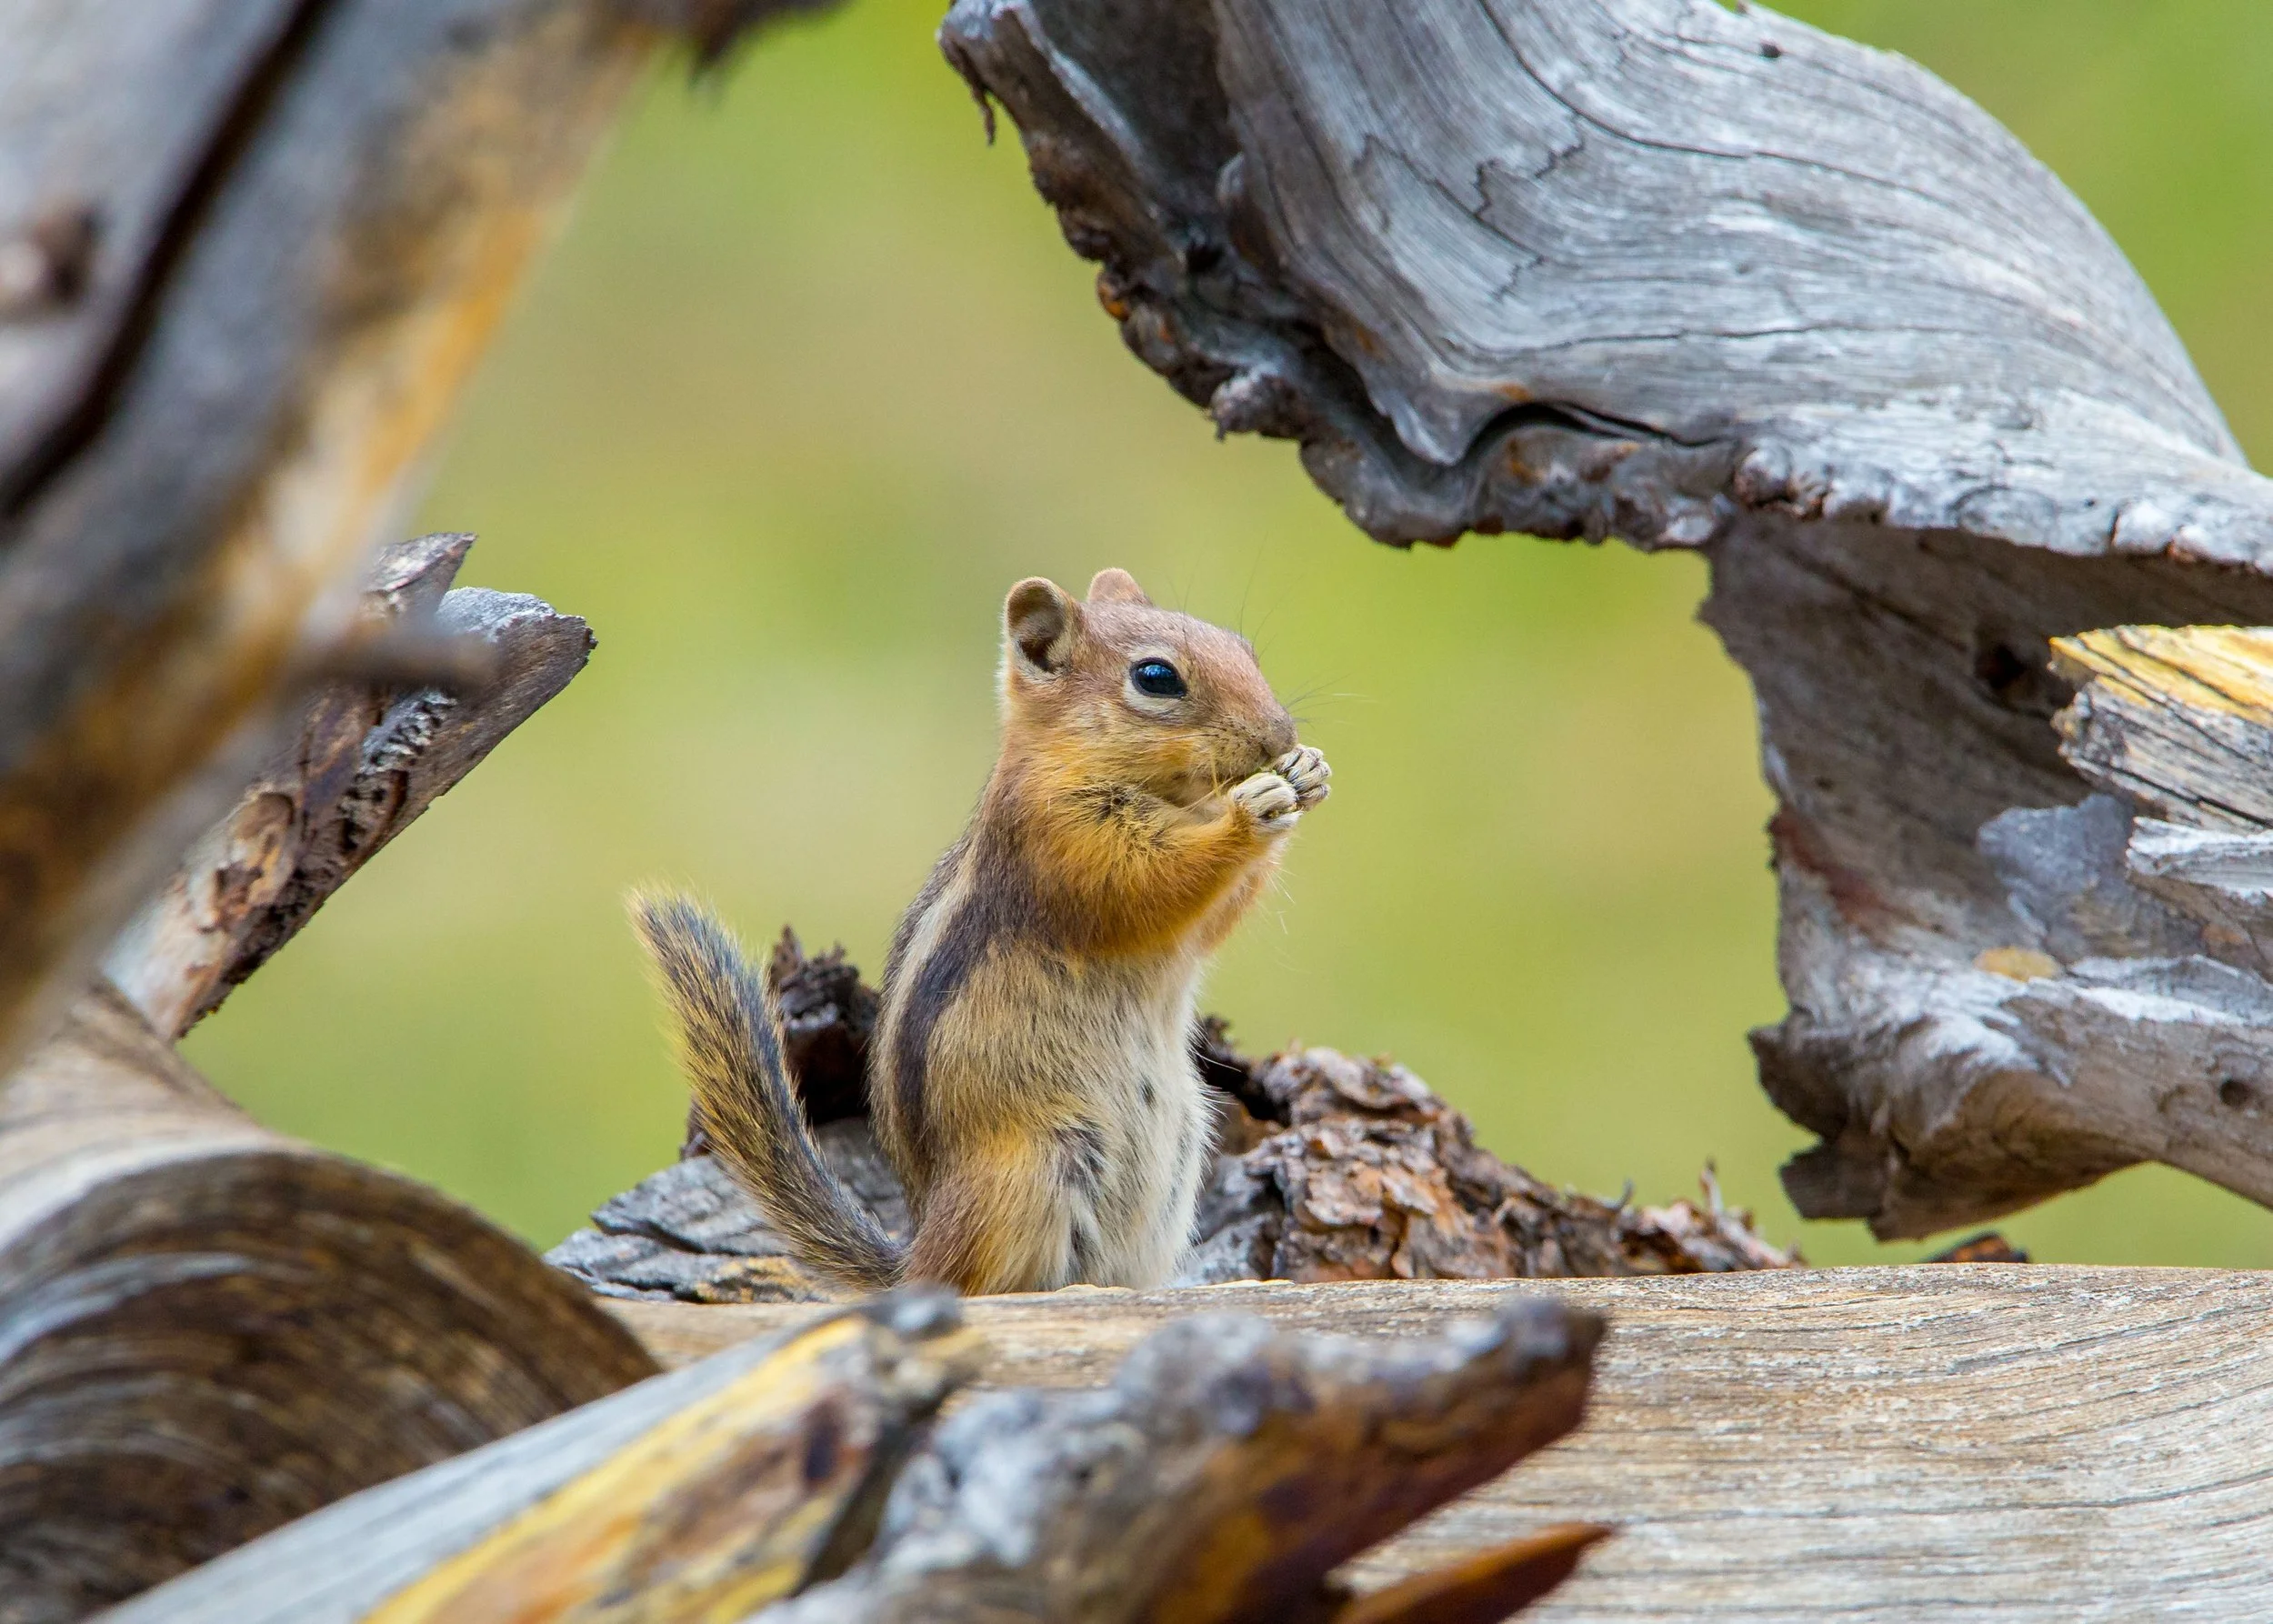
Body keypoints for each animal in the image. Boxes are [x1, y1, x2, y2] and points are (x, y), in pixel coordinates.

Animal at [631, 568, 1329, 1296]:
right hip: (1028, 1172)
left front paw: (1305, 772)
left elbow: (1212, 917)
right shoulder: (1059, 839)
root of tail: (916, 1257)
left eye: (1245, 651)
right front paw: (1250, 811)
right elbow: (1147, 884)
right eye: (1157, 677)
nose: (1278, 735)